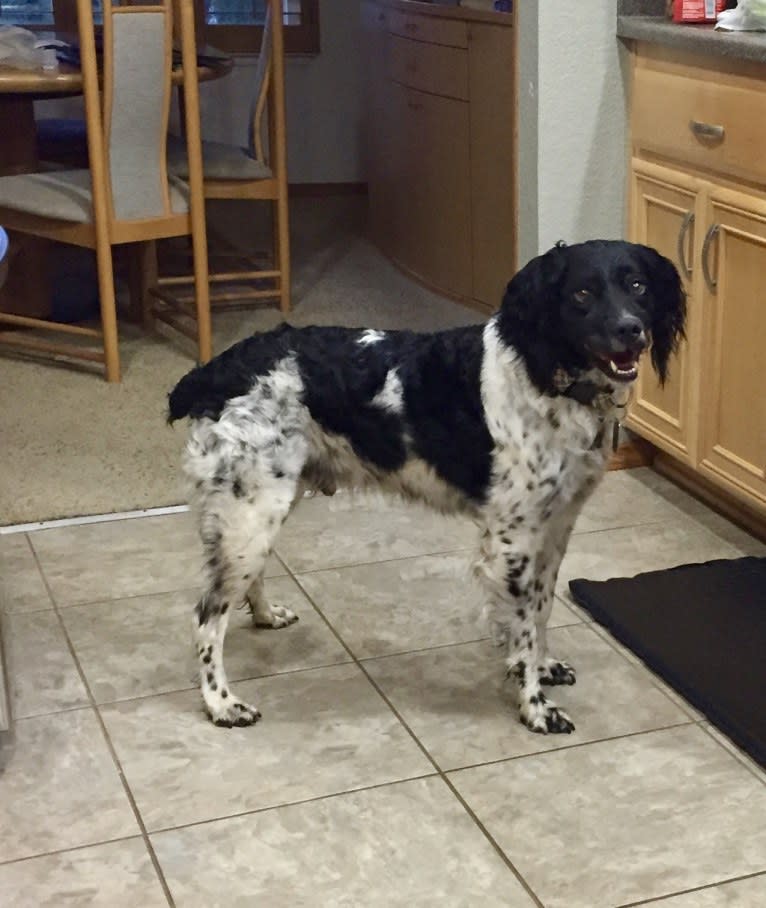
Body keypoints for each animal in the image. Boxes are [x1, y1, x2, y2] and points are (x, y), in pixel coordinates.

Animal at [171, 239, 688, 732]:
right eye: (582, 293)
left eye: (638, 286)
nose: (630, 329)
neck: (547, 378)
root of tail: (221, 367)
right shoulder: (512, 541)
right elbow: (521, 629)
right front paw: (535, 707)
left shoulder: (556, 527)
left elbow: (541, 610)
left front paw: (544, 667)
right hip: (252, 512)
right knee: (206, 617)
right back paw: (221, 703)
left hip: (262, 506)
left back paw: (264, 615)